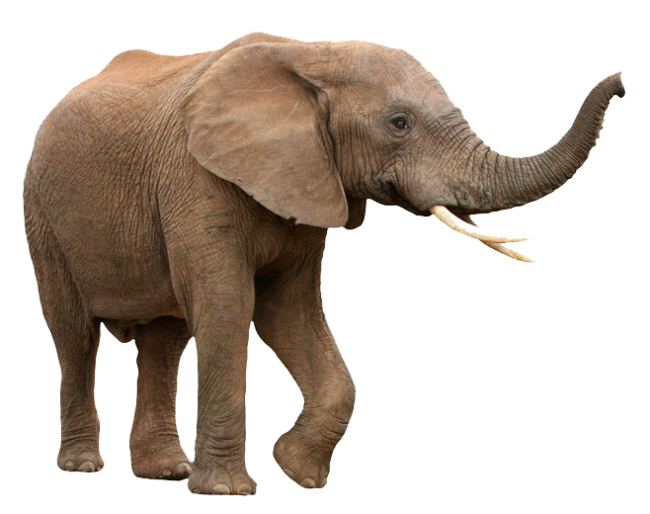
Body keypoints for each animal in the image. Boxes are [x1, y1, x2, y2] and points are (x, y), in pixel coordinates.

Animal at [22, 31, 625, 495]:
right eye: (399, 123)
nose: (620, 82)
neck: (312, 57)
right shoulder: (197, 180)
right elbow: (227, 307)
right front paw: (230, 492)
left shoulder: (309, 182)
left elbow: (287, 313)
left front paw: (298, 473)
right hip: (43, 216)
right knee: (74, 334)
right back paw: (85, 466)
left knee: (164, 340)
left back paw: (165, 472)